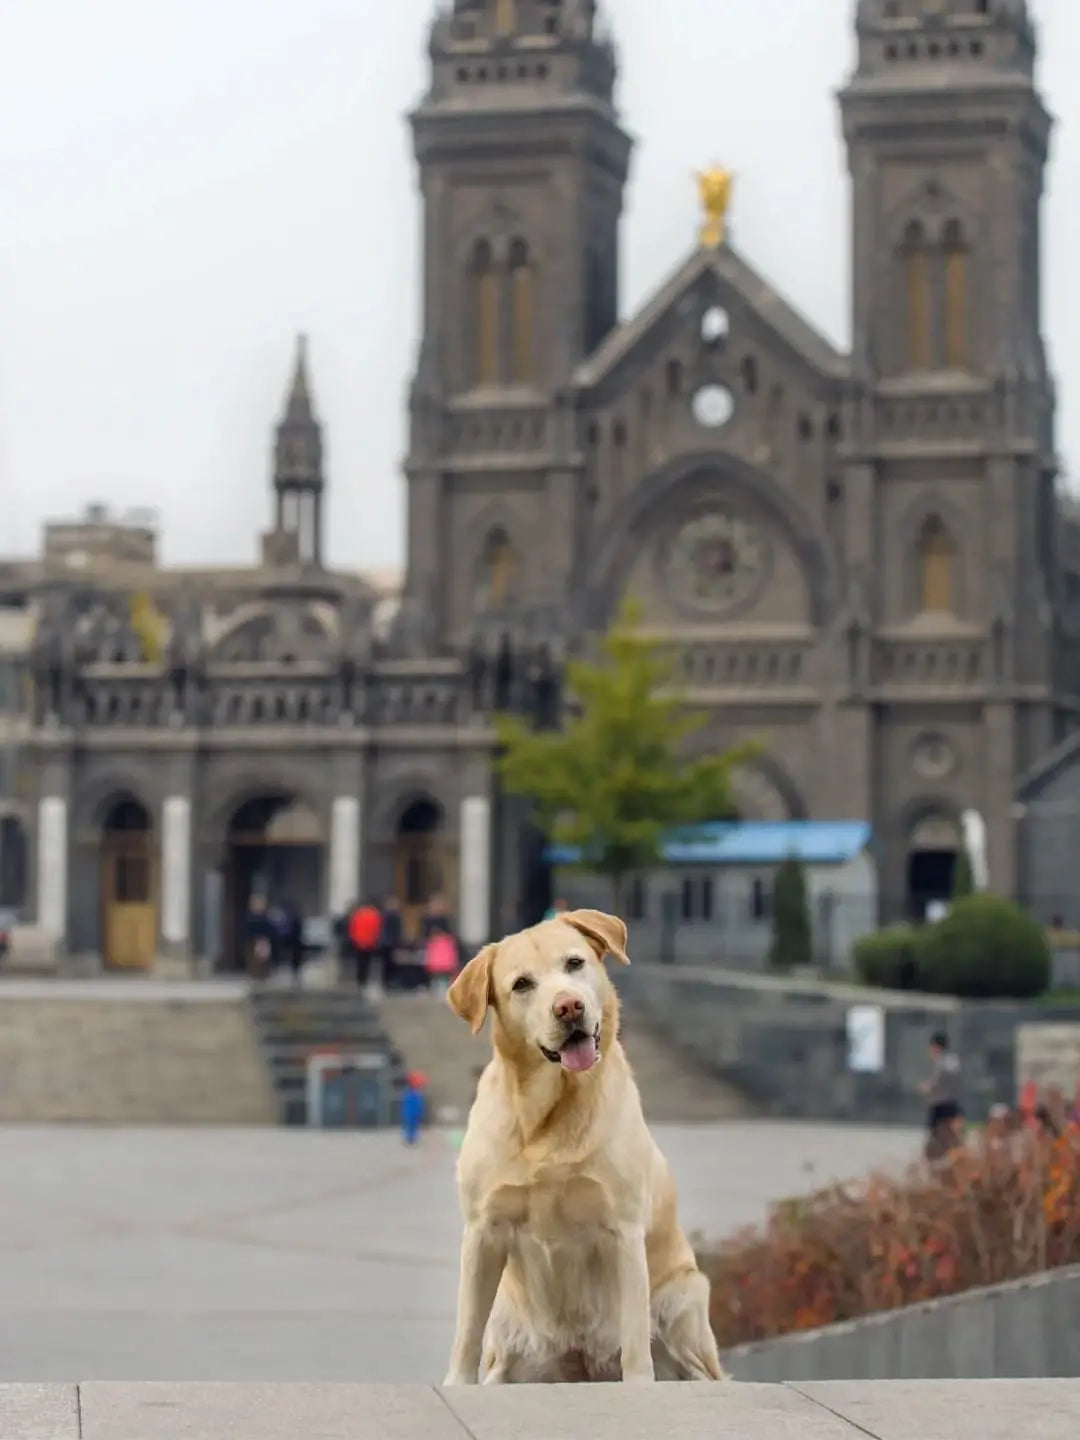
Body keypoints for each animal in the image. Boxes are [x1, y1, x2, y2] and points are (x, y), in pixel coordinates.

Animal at [440, 904, 728, 1388]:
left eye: (574, 963)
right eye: (522, 984)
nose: (569, 1006)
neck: (550, 1113)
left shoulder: (622, 1230)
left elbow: (634, 1339)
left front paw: (640, 1389)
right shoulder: (483, 1229)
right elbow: (465, 1330)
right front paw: (457, 1386)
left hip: (683, 1300)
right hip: (509, 1329)